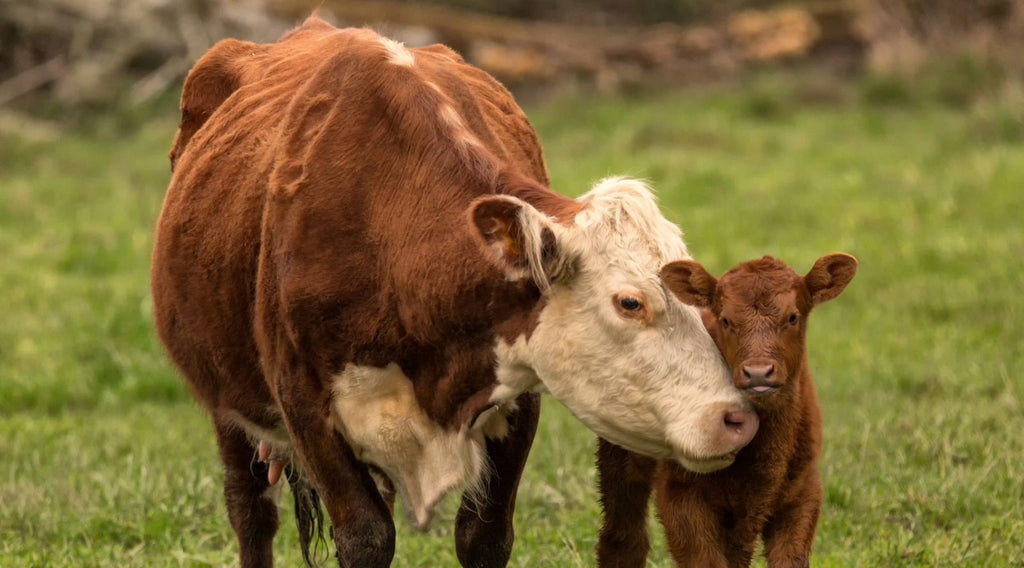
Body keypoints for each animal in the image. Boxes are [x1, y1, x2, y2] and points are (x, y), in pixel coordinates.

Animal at [151, 17, 759, 568]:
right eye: (630, 302)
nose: (738, 418)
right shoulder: (304, 404)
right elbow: (366, 538)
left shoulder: (518, 394)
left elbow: (483, 537)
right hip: (227, 402)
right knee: (250, 509)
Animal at [595, 253, 858, 568]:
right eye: (726, 320)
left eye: (793, 317)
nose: (758, 372)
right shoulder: (681, 494)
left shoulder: (803, 493)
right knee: (624, 537)